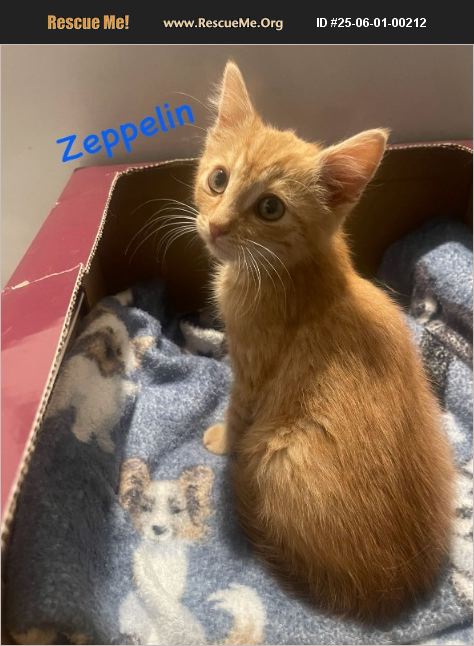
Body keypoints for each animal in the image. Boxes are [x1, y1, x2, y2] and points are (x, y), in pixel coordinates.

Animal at [193, 61, 455, 622]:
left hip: (277, 452)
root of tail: (390, 590)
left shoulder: (253, 369)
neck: (290, 270)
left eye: (270, 208)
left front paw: (221, 439)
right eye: (218, 179)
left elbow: (236, 410)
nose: (217, 226)